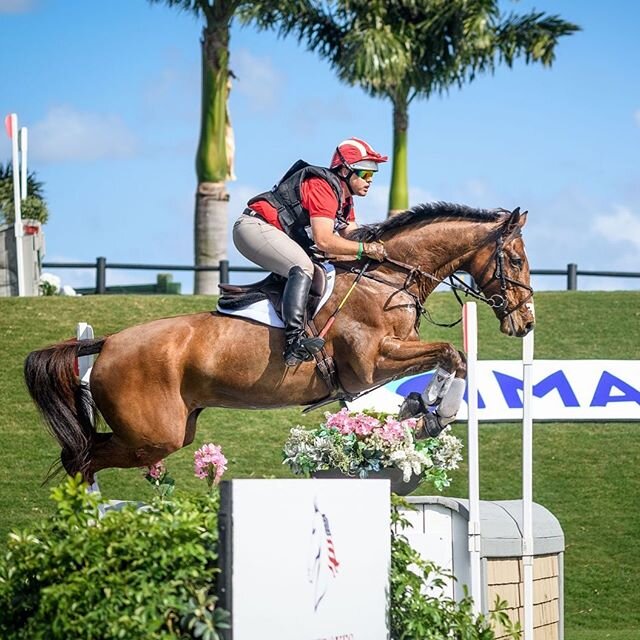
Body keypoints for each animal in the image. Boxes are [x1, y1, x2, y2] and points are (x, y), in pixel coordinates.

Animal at [25, 201, 536, 480]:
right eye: (514, 259)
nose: (526, 323)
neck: (386, 279)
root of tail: (107, 344)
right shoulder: (369, 366)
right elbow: (450, 353)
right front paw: (432, 410)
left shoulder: (396, 352)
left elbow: (454, 357)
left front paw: (423, 408)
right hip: (151, 438)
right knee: (81, 457)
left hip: (169, 430)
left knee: (81, 456)